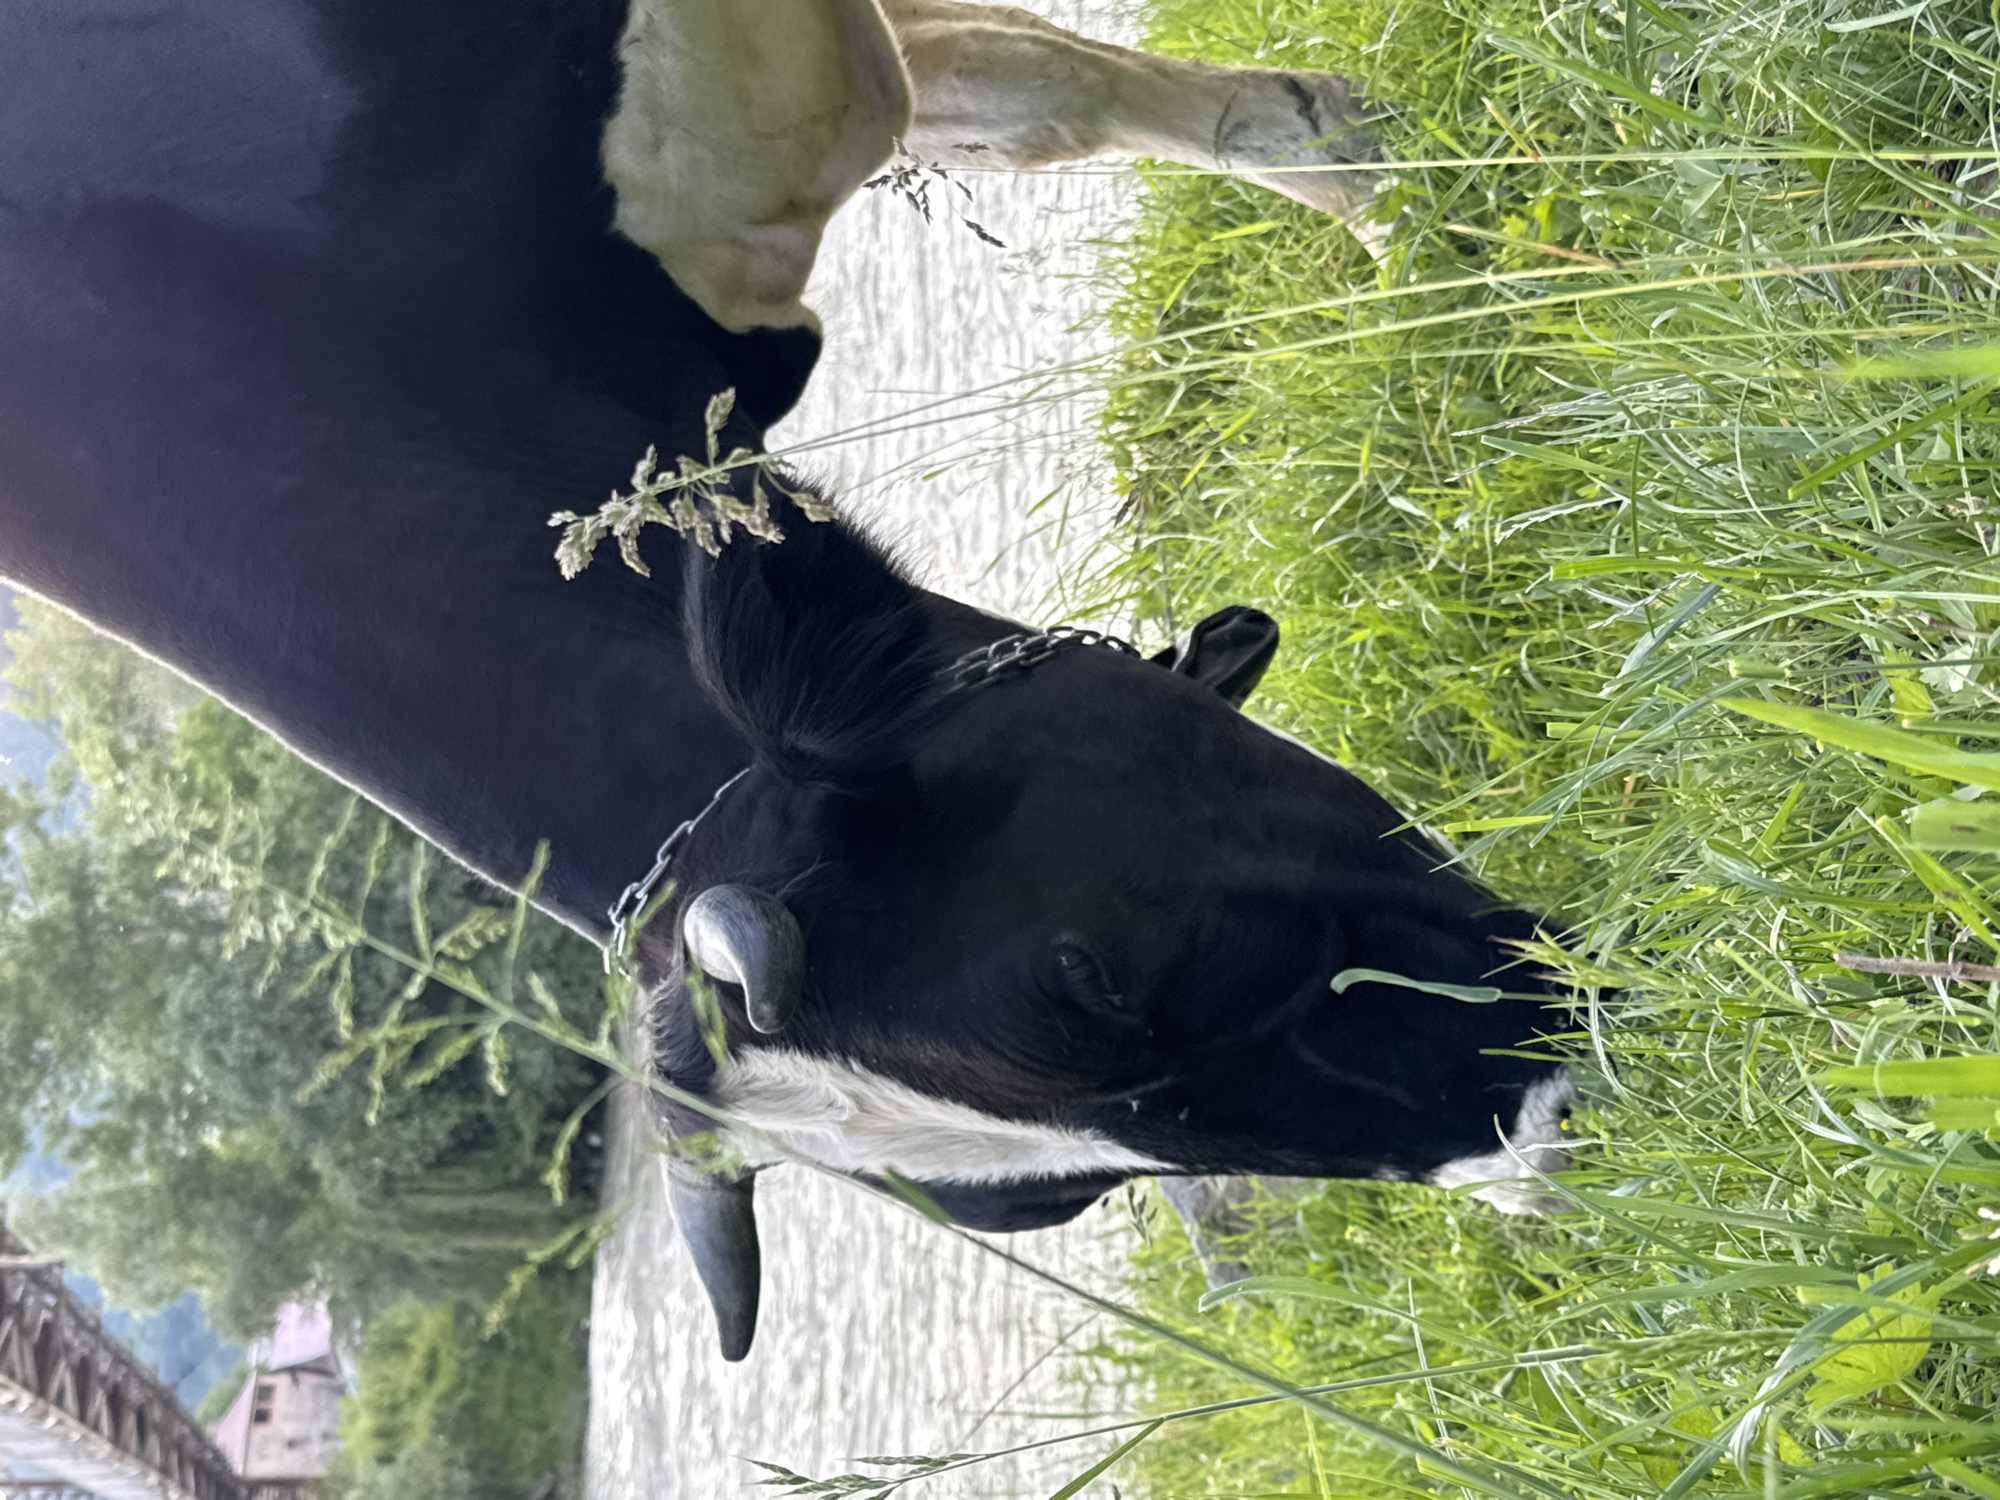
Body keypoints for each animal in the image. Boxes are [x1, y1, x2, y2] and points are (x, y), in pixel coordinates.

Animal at [0, 0, 1573, 1363]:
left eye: (1085, 981)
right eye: (1060, 1195)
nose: (1547, 1144)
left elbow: (1035, 101)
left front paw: (1424, 201)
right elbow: (1017, 93)